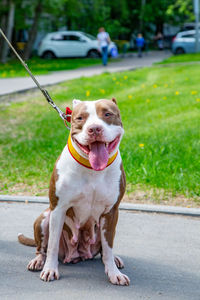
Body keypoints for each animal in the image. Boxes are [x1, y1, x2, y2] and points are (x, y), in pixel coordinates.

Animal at [18, 98, 130, 286]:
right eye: (80, 118)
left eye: (107, 114)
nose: (94, 129)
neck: (92, 170)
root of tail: (78, 254)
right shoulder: (58, 209)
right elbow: (52, 245)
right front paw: (50, 269)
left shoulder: (111, 212)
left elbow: (108, 247)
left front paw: (114, 273)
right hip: (44, 217)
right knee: (42, 248)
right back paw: (39, 261)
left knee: (104, 250)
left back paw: (114, 259)